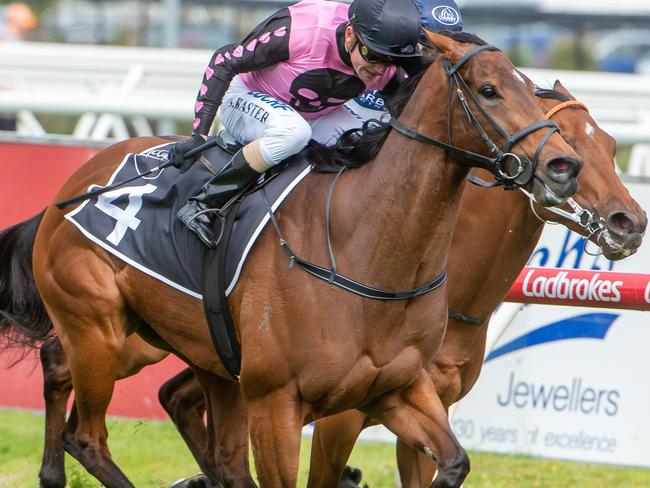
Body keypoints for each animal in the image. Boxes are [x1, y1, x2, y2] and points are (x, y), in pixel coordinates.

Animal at [8, 32, 584, 486]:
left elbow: (454, 461)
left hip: (194, 351)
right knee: (86, 435)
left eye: (530, 88)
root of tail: (68, 192)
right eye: (489, 90)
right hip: (100, 332)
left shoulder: (397, 390)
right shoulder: (276, 404)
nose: (564, 165)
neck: (362, 248)